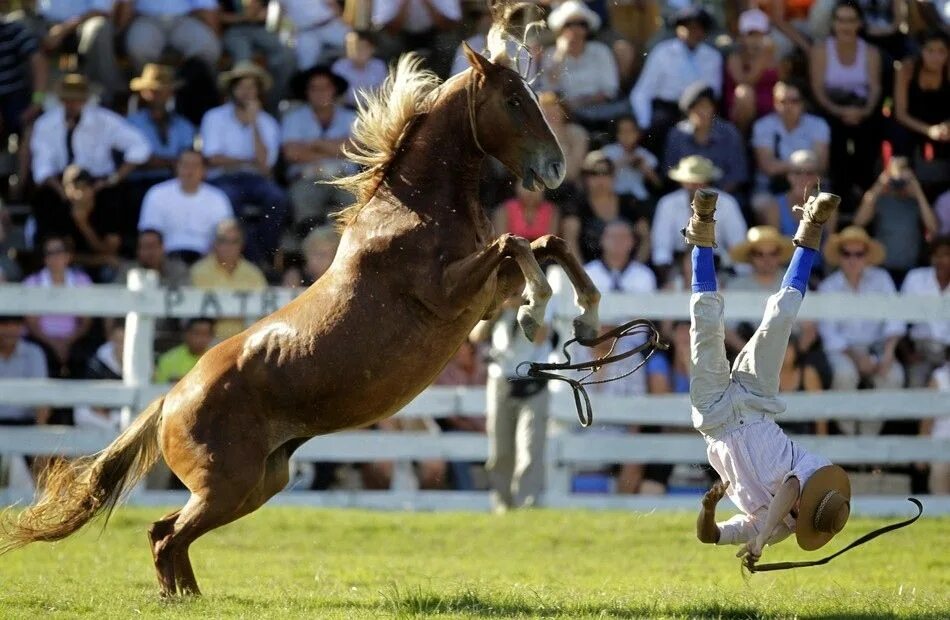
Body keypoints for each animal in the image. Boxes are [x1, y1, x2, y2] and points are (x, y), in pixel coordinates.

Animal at [0, 35, 604, 596]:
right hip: (229, 485)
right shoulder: (449, 293)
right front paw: (536, 312)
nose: (556, 167)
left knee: (165, 533)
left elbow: (547, 244)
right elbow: (516, 243)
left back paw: (188, 598)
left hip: (257, 484)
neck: (411, 213)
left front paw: (588, 320)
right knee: (168, 535)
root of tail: (169, 399)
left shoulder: (483, 298)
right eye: (512, 99)